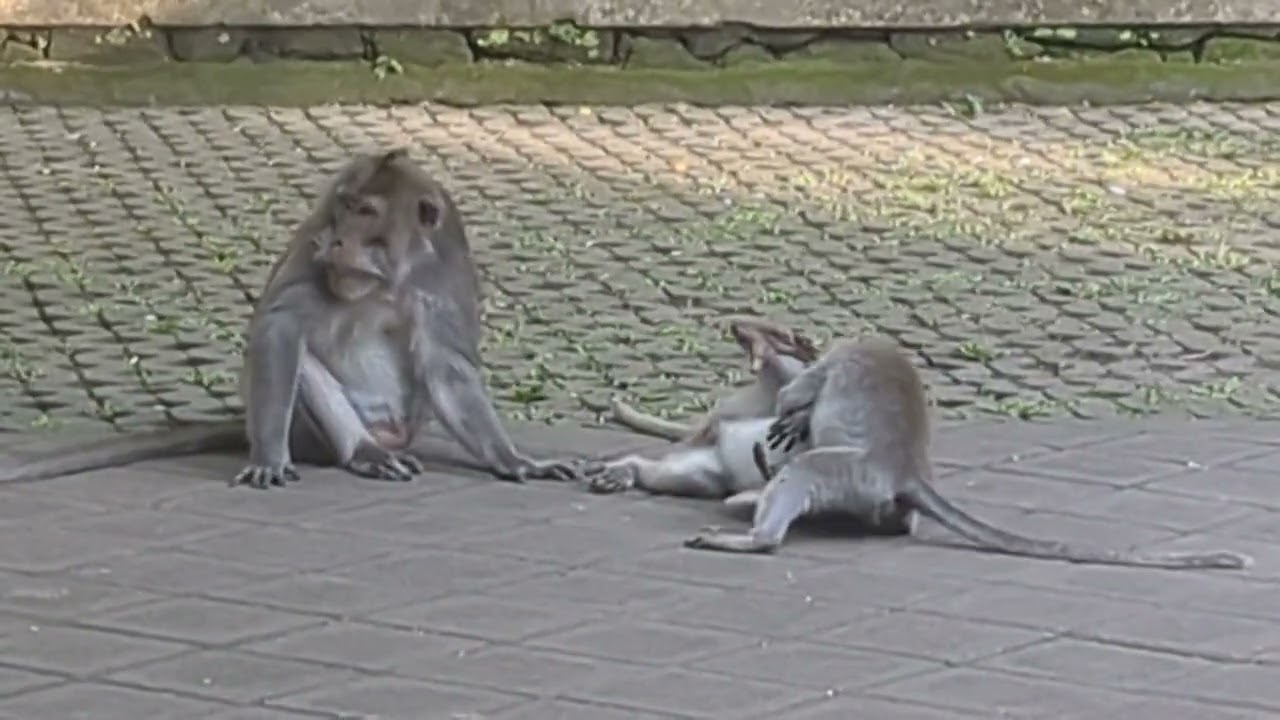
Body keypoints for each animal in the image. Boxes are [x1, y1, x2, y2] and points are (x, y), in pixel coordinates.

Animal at [0, 149, 587, 489]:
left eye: (367, 212)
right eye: (344, 205)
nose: (342, 240)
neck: (386, 278)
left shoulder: (445, 275)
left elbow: (447, 369)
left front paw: (514, 461)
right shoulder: (313, 238)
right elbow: (280, 326)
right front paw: (268, 456)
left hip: (406, 426)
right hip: (313, 435)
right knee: (300, 363)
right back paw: (364, 453)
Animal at [683, 336, 1251, 571]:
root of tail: (906, 470)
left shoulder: (828, 364)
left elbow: (793, 396)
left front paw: (793, 411)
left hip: (852, 471)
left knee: (806, 468)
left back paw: (757, 537)